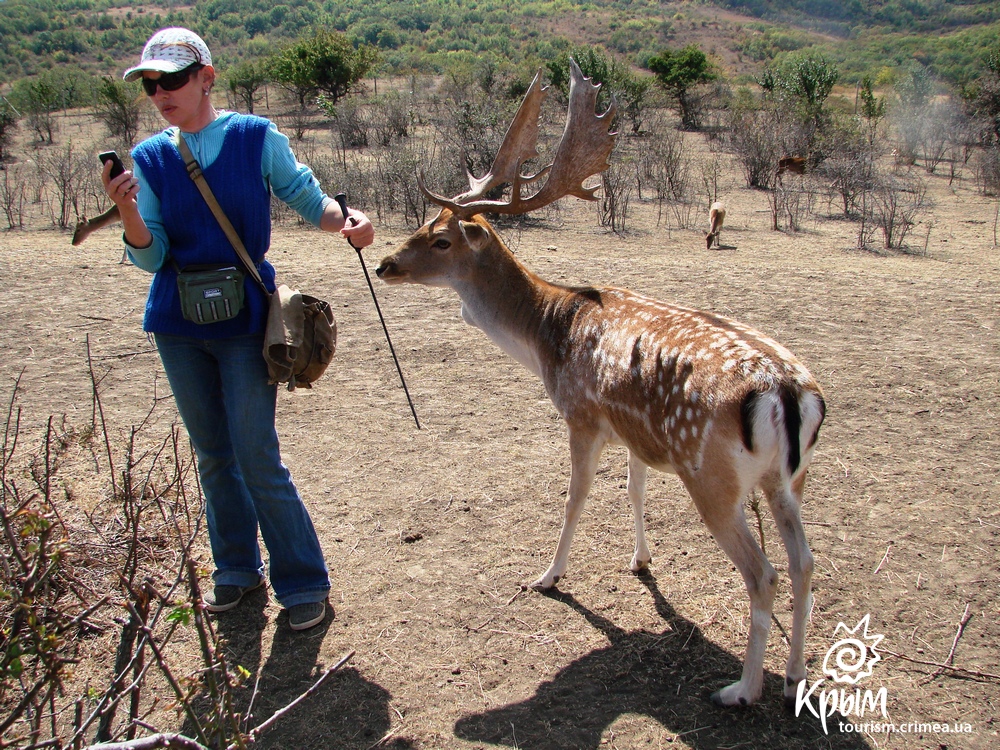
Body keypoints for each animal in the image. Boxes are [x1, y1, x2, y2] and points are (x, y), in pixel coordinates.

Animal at [376, 60, 828, 712]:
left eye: (441, 238)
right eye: (418, 224)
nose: (384, 264)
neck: (548, 334)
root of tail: (788, 392)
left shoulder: (582, 415)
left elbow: (575, 497)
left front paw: (547, 575)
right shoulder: (637, 434)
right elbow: (634, 492)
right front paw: (640, 561)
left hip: (713, 479)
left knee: (763, 572)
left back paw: (741, 688)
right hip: (787, 479)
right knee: (805, 563)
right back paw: (793, 675)